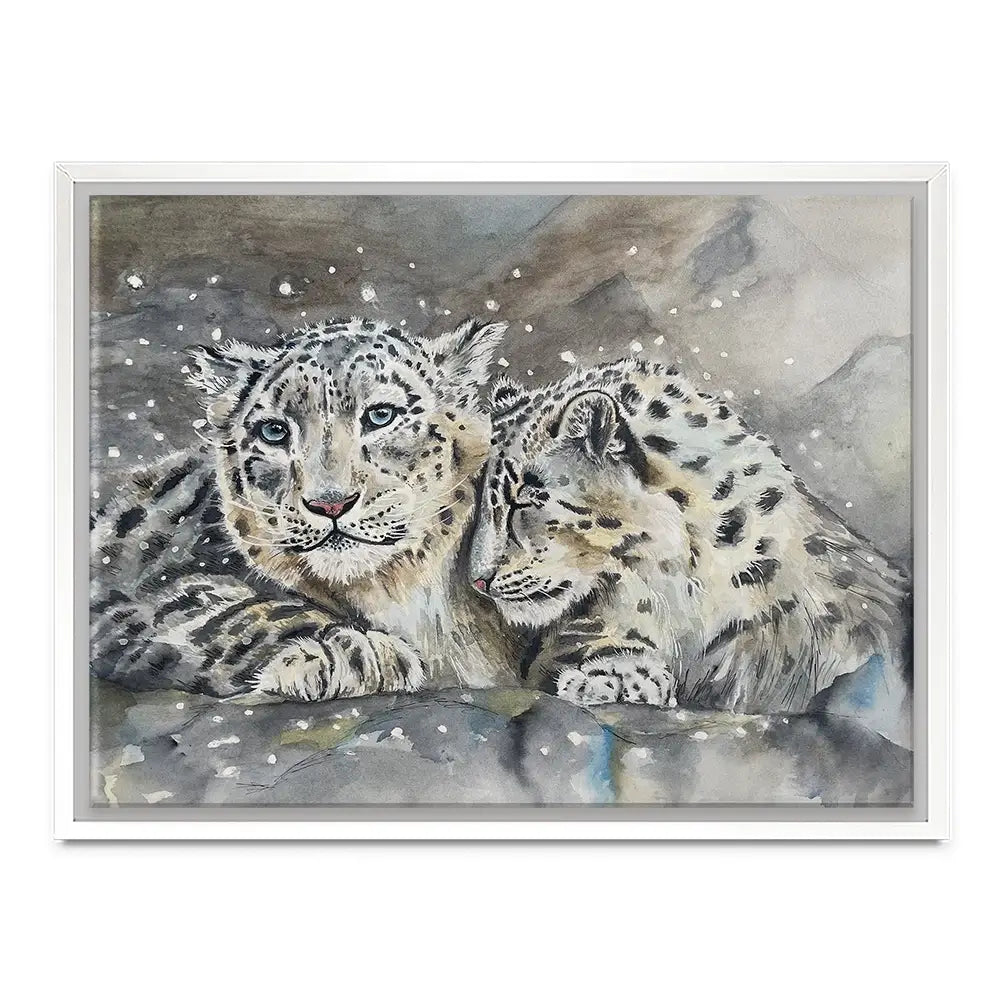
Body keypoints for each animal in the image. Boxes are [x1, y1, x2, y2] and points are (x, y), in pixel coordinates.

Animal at [91, 316, 520, 701]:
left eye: (381, 415)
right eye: (273, 431)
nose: (330, 503)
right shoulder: (139, 592)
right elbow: (236, 610)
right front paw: (355, 653)